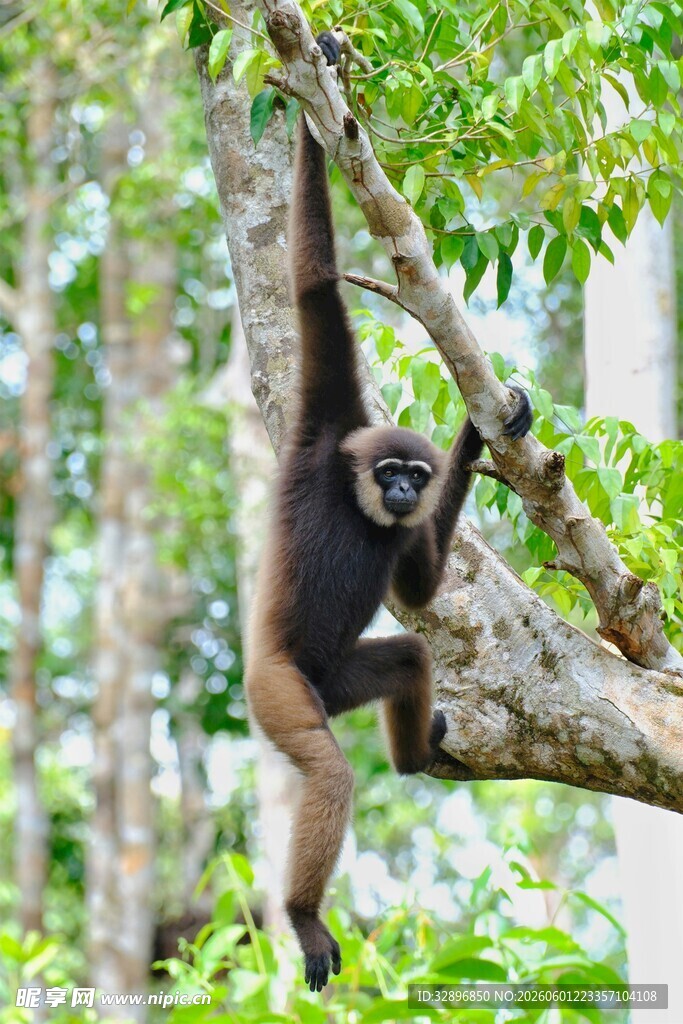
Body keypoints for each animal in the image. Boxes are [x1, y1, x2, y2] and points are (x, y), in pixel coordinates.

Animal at [244, 36, 533, 994]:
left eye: (414, 476)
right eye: (390, 474)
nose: (406, 493)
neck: (356, 503)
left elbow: (416, 590)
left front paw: (480, 432)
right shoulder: (322, 433)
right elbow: (312, 287)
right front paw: (312, 98)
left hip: (338, 680)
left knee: (408, 654)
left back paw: (414, 757)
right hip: (280, 690)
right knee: (328, 773)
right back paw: (303, 914)